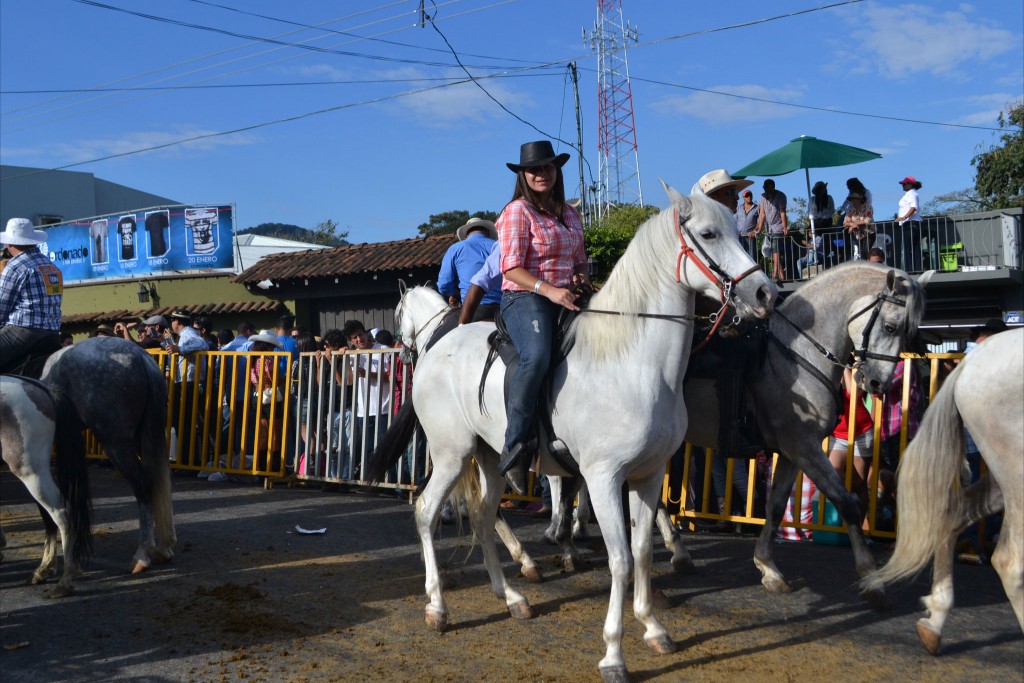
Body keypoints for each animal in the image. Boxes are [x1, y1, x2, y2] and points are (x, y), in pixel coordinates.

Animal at [364, 184, 770, 679]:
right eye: (709, 234)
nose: (765, 292)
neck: (634, 363)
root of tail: (435, 349)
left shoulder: (649, 475)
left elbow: (641, 551)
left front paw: (654, 628)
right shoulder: (603, 477)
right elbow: (619, 560)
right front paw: (614, 654)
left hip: (491, 459)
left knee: (482, 517)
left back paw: (512, 597)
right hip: (450, 454)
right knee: (425, 511)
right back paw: (438, 607)